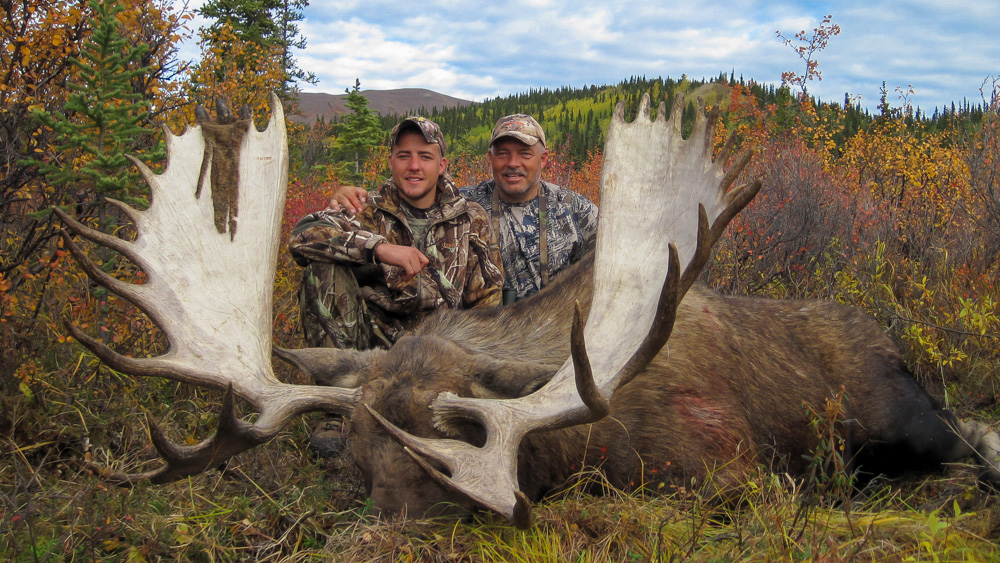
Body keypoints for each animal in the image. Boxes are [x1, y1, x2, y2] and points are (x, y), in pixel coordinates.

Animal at [56, 92, 1000, 528]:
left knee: (970, 446)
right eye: (357, 460)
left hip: (902, 415)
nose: (376, 533)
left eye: (435, 467)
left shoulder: (725, 467)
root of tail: (895, 344)